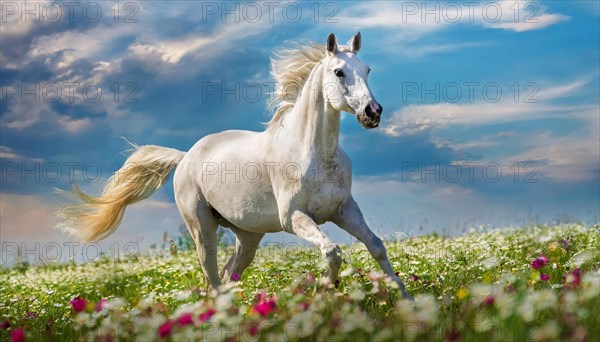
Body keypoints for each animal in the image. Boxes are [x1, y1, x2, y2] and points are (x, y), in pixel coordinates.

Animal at [58, 33, 410, 298]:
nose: (373, 112)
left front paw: (405, 301)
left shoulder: (344, 209)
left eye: (367, 69)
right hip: (202, 230)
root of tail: (185, 156)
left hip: (248, 236)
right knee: (213, 279)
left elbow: (376, 246)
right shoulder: (295, 218)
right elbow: (333, 252)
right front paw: (326, 292)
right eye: (339, 72)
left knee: (228, 276)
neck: (313, 154)